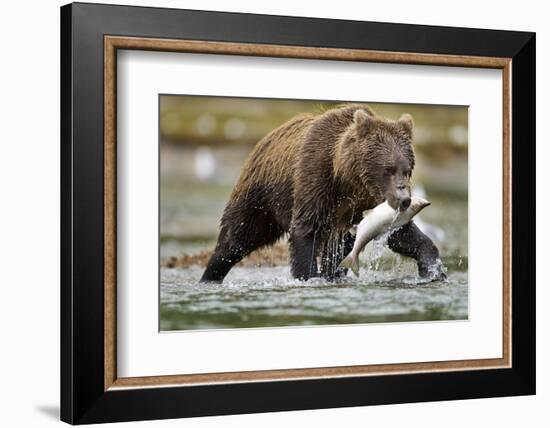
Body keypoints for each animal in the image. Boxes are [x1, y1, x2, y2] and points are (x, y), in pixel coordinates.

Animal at [201, 103, 446, 282]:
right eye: (388, 169)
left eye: (407, 169)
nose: (404, 199)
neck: (348, 180)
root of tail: (264, 140)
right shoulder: (316, 179)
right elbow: (306, 231)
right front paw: (309, 276)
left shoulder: (366, 204)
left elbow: (401, 233)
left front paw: (434, 270)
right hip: (261, 196)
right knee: (236, 239)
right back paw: (210, 277)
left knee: (340, 250)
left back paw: (335, 275)